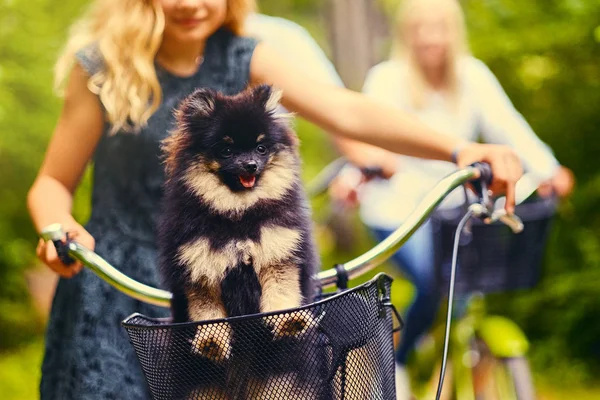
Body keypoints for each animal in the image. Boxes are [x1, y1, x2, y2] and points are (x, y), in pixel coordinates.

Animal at [155, 85, 324, 400]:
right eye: (227, 149)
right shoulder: (200, 266)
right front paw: (211, 341)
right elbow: (206, 311)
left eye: (261, 147)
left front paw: (289, 320)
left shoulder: (277, 252)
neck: (238, 215)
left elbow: (282, 293)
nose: (250, 164)